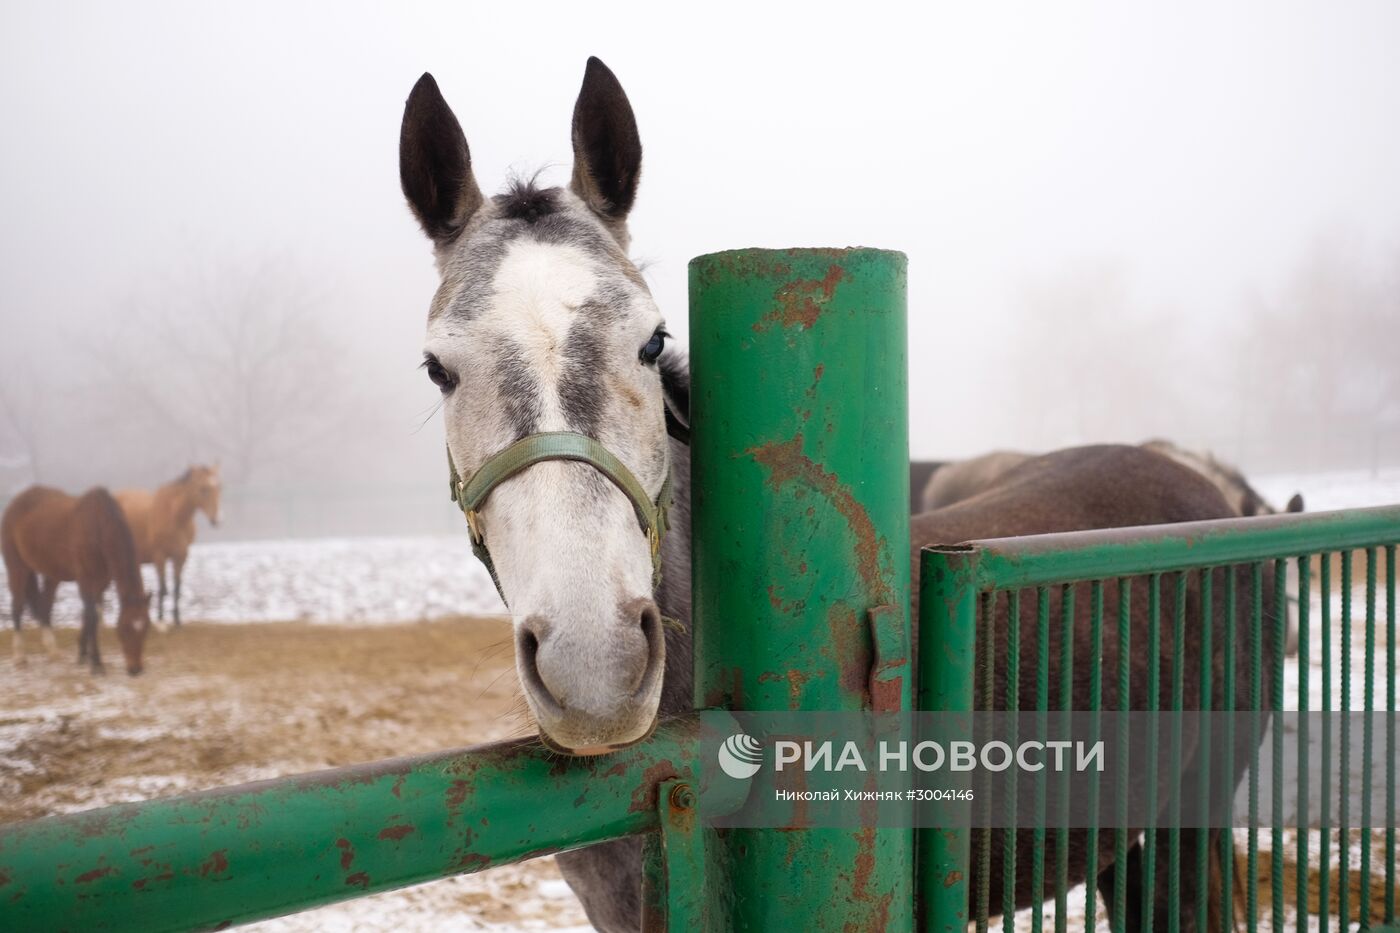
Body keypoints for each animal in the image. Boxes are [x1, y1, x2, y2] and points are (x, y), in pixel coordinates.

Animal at [2, 486, 152, 675]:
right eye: (124, 628)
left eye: (146, 628)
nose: (135, 669)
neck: (98, 527)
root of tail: (15, 504)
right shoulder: (85, 580)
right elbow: (92, 617)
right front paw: (96, 664)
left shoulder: (101, 583)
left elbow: (90, 617)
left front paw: (83, 655)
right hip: (17, 568)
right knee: (17, 607)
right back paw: (20, 657)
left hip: (52, 574)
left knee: (45, 607)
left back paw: (53, 651)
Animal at [115, 464, 221, 626]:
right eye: (203, 488)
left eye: (220, 487)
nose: (216, 520)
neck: (174, 518)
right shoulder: (160, 556)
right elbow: (163, 588)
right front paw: (160, 619)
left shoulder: (181, 556)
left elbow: (177, 587)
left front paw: (177, 620)